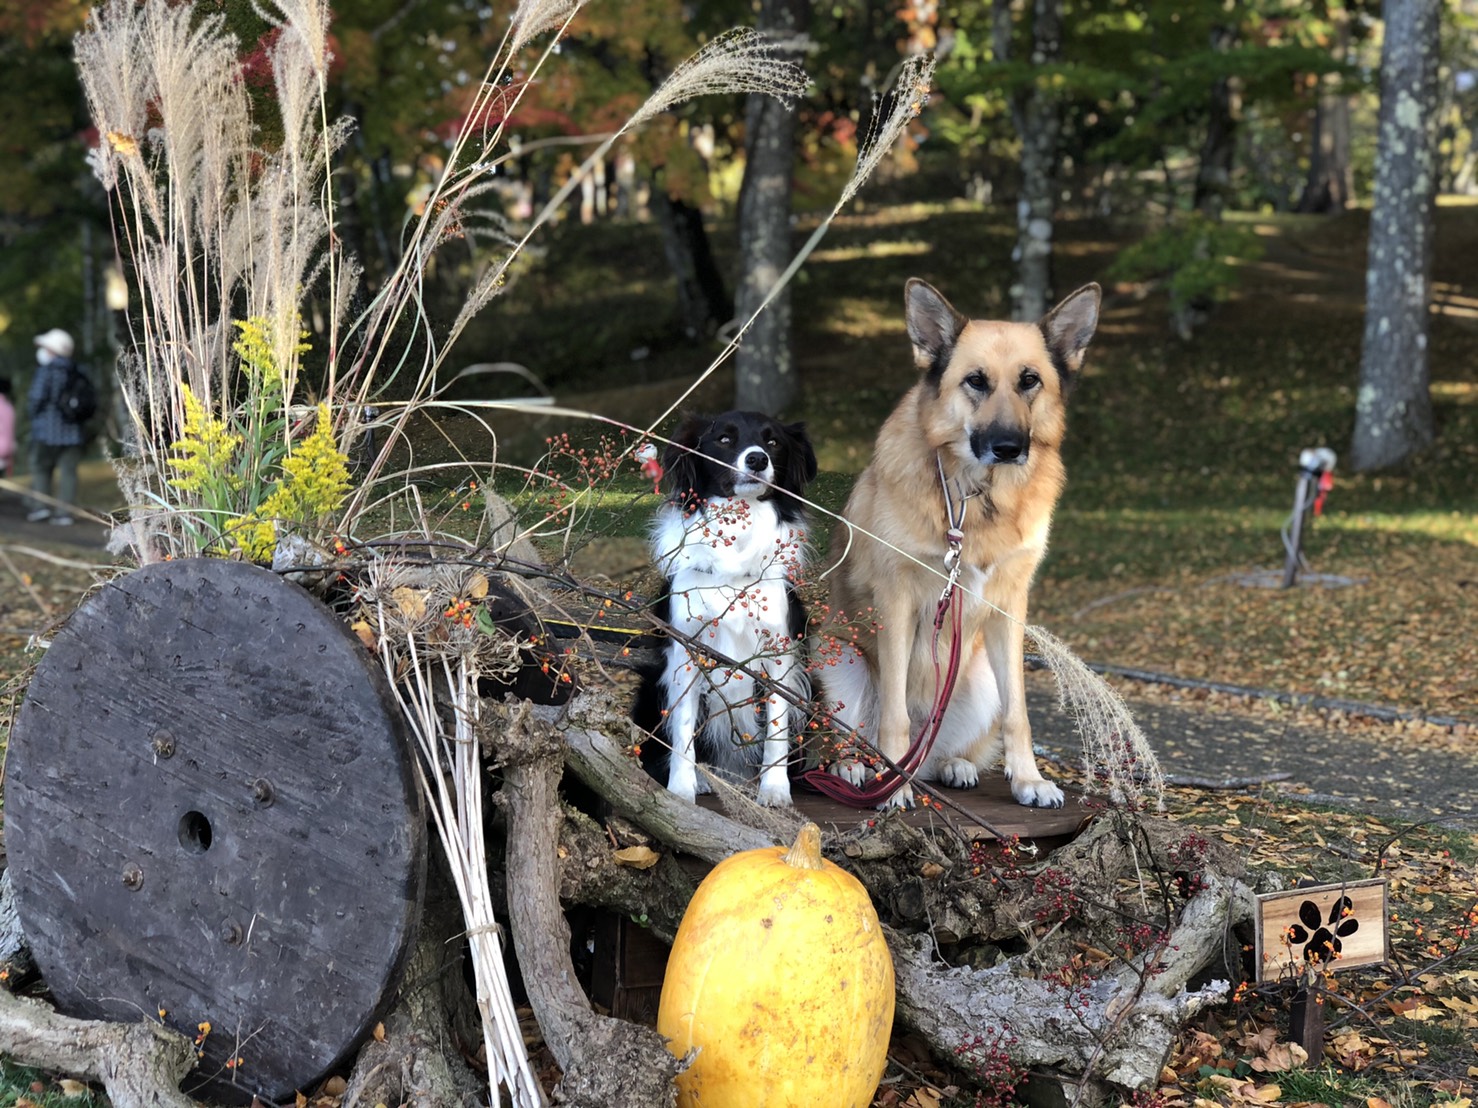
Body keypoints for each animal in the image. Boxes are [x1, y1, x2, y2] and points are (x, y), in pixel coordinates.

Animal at [635, 413, 821, 809]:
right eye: (723, 439)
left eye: (773, 443)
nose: (757, 460)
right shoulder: (686, 653)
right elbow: (684, 727)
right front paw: (681, 787)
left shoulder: (780, 655)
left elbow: (777, 727)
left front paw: (774, 788)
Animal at [821, 282, 1099, 809]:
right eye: (975, 381)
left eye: (1030, 381)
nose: (1009, 448)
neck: (976, 494)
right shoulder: (897, 602)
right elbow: (894, 714)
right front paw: (891, 790)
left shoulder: (1010, 609)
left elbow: (1019, 714)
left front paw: (1028, 779)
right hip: (839, 660)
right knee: (842, 740)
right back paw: (860, 768)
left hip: (980, 678)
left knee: (940, 756)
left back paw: (951, 766)